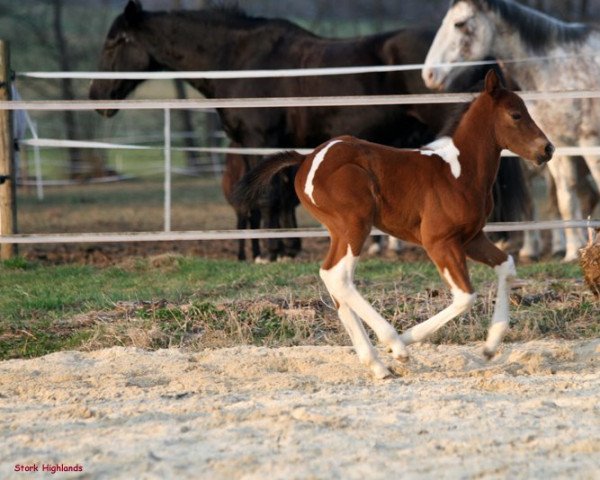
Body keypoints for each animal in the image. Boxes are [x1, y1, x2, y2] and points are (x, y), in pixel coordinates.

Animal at [234, 72, 552, 378]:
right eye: (516, 114)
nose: (547, 149)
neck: (460, 172)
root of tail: (307, 158)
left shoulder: (471, 238)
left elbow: (506, 266)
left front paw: (490, 347)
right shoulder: (439, 241)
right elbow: (465, 296)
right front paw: (406, 340)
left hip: (341, 230)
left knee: (331, 276)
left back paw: (377, 365)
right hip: (355, 224)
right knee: (339, 276)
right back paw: (393, 346)